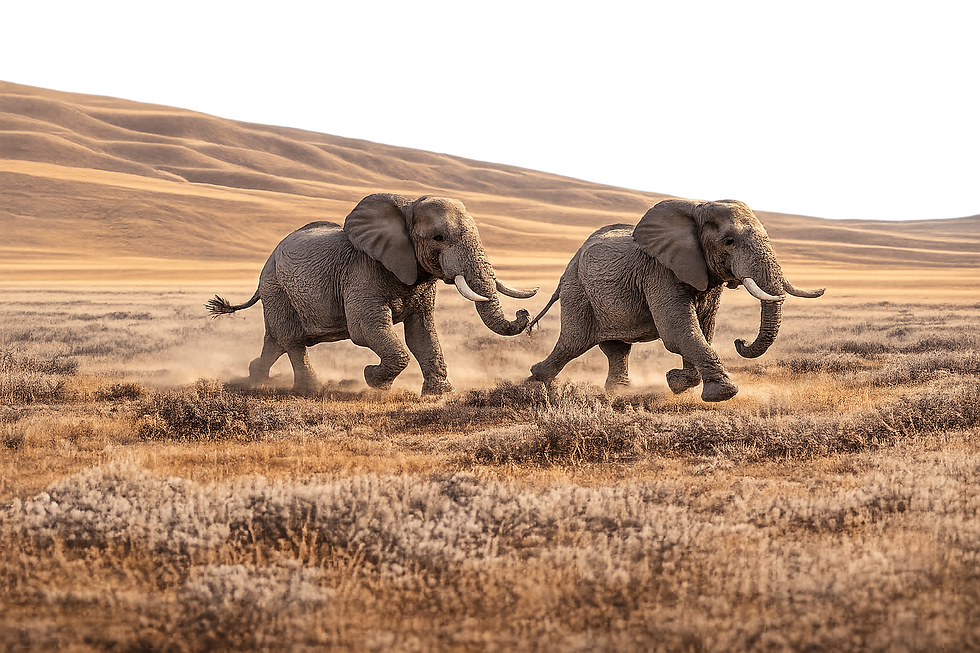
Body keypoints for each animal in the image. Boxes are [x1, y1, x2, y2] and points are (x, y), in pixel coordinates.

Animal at [206, 193, 538, 395]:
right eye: (438, 238)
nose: (525, 314)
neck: (407, 206)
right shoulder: (362, 270)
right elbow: (365, 329)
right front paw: (372, 380)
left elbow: (421, 333)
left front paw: (439, 394)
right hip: (276, 287)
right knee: (292, 341)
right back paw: (310, 390)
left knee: (276, 340)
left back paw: (255, 379)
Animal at [526, 195, 824, 402]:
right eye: (728, 241)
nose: (740, 341)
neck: (696, 210)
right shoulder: (659, 271)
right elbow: (678, 331)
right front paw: (721, 394)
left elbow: (702, 328)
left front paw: (676, 382)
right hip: (577, 290)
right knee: (573, 343)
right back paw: (536, 380)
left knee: (616, 347)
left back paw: (618, 391)